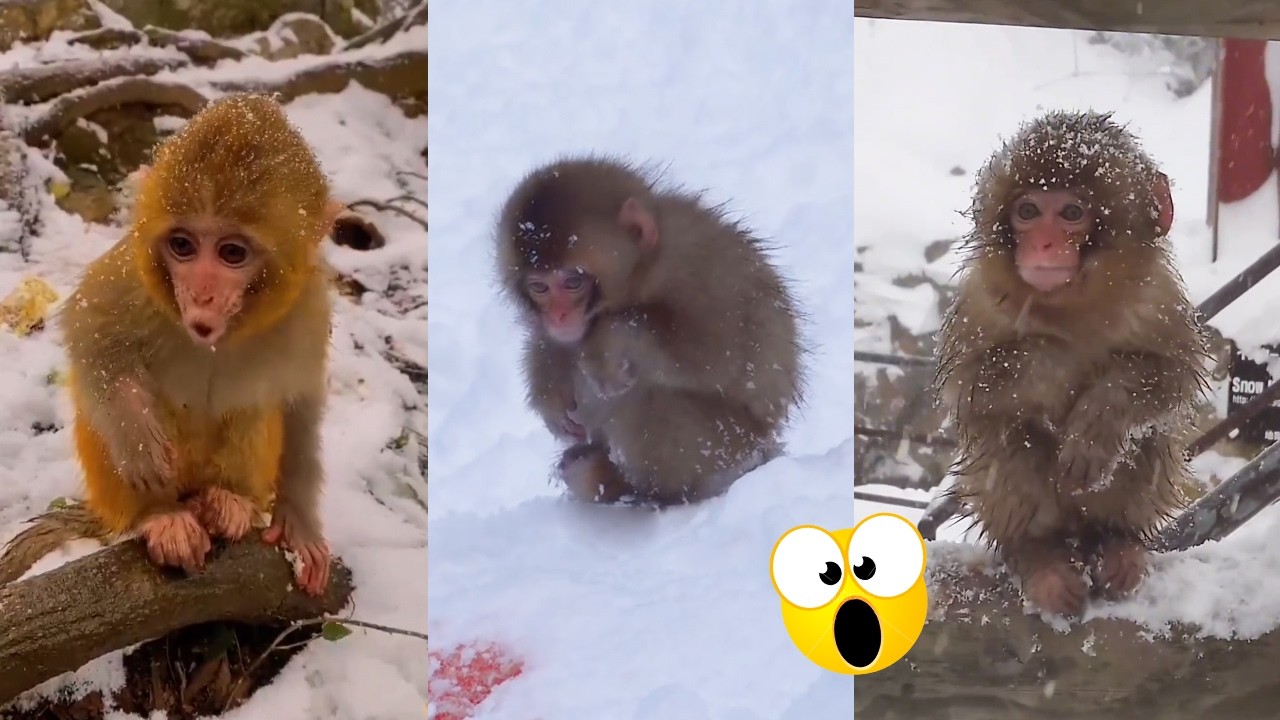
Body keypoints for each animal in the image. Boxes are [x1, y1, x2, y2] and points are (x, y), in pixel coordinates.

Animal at [0, 93, 339, 595]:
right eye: (182, 245)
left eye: (232, 253)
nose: (201, 294)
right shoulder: (132, 273)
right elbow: (89, 332)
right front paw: (136, 436)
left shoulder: (308, 306)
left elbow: (302, 401)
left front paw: (298, 523)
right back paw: (161, 516)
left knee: (256, 406)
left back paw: (228, 502)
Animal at [495, 156, 805, 506]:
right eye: (539, 287)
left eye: (573, 282)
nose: (559, 316)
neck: (641, 272)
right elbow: (555, 344)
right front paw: (549, 398)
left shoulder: (699, 275)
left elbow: (713, 354)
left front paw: (608, 340)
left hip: (733, 443)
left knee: (648, 400)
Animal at [933, 110, 1211, 618]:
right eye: (1027, 212)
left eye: (1071, 213)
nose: (1043, 246)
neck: (1072, 307)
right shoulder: (980, 302)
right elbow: (969, 386)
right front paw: (1060, 360)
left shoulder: (1160, 299)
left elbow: (1174, 379)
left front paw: (1099, 419)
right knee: (1010, 440)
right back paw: (1038, 556)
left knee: (1147, 442)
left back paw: (1118, 544)